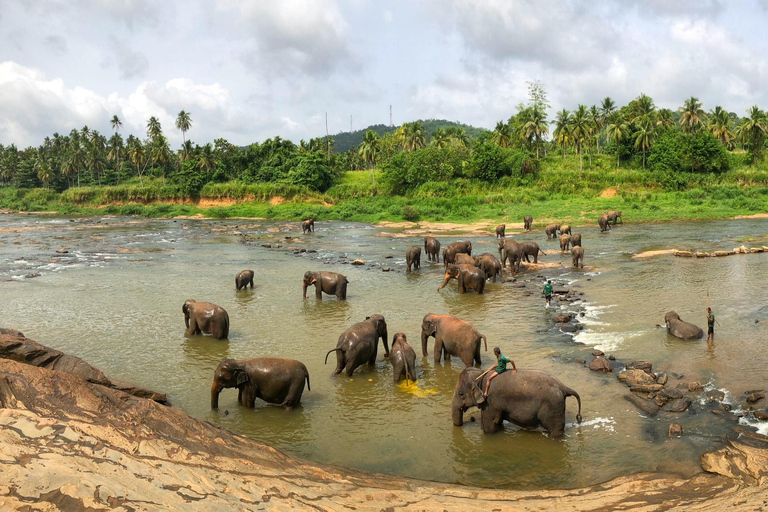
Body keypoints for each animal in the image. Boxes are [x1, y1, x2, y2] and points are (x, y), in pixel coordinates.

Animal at [450, 368, 584, 436]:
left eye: (460, 394)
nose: (470, 420)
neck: (481, 375)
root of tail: (564, 387)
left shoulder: (490, 401)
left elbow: (489, 425)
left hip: (554, 407)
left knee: (555, 430)